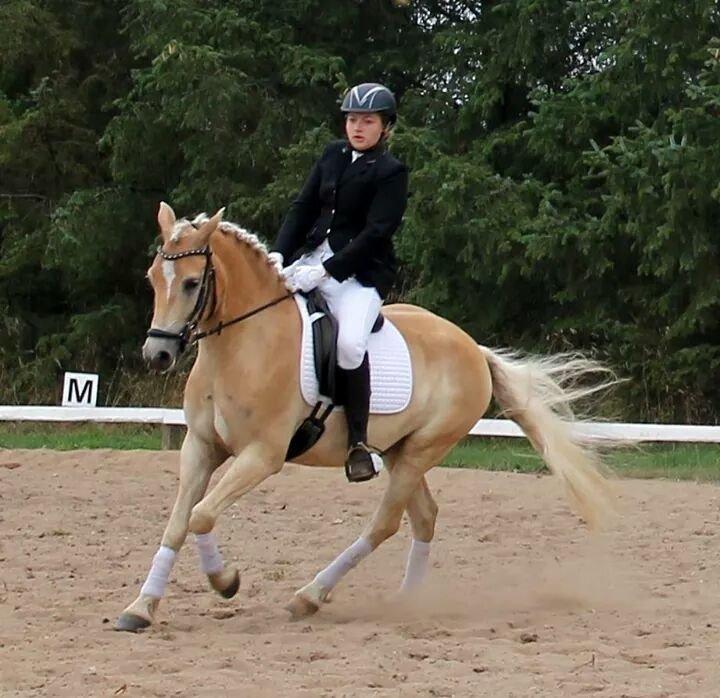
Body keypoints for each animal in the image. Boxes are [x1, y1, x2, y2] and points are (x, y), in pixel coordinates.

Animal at [115, 203, 616, 632]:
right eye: (152, 278)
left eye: (191, 283)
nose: (157, 355)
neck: (241, 346)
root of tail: (473, 348)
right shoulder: (200, 446)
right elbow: (179, 521)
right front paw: (140, 607)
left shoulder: (262, 455)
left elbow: (201, 516)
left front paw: (226, 582)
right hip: (398, 450)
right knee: (424, 517)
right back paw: (406, 603)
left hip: (422, 450)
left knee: (385, 523)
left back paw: (311, 596)